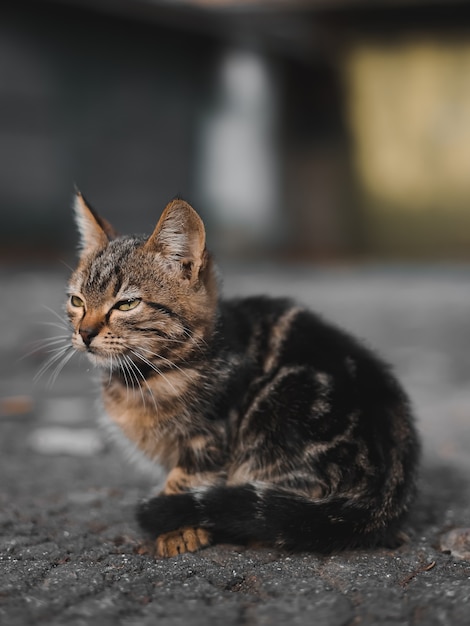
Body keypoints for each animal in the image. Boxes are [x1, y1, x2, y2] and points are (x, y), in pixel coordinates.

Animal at [65, 190, 418, 556]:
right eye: (77, 301)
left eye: (126, 304)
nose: (85, 333)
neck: (144, 376)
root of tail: (386, 493)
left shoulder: (210, 436)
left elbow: (185, 480)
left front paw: (178, 528)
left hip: (282, 408)